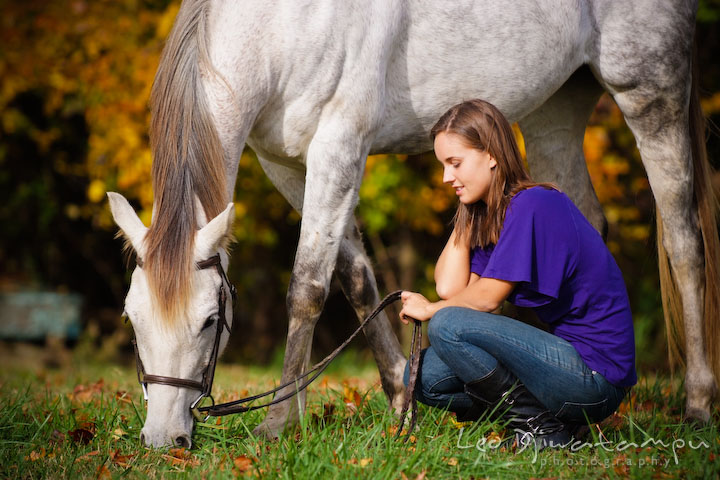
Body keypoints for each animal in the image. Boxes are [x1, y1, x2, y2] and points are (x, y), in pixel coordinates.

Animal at [108, 0, 720, 446]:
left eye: (211, 321)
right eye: (132, 319)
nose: (162, 439)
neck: (282, 22)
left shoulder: (338, 148)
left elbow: (307, 286)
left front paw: (279, 422)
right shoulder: (287, 165)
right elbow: (354, 278)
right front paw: (401, 395)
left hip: (651, 94)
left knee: (685, 242)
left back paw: (697, 403)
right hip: (557, 106)